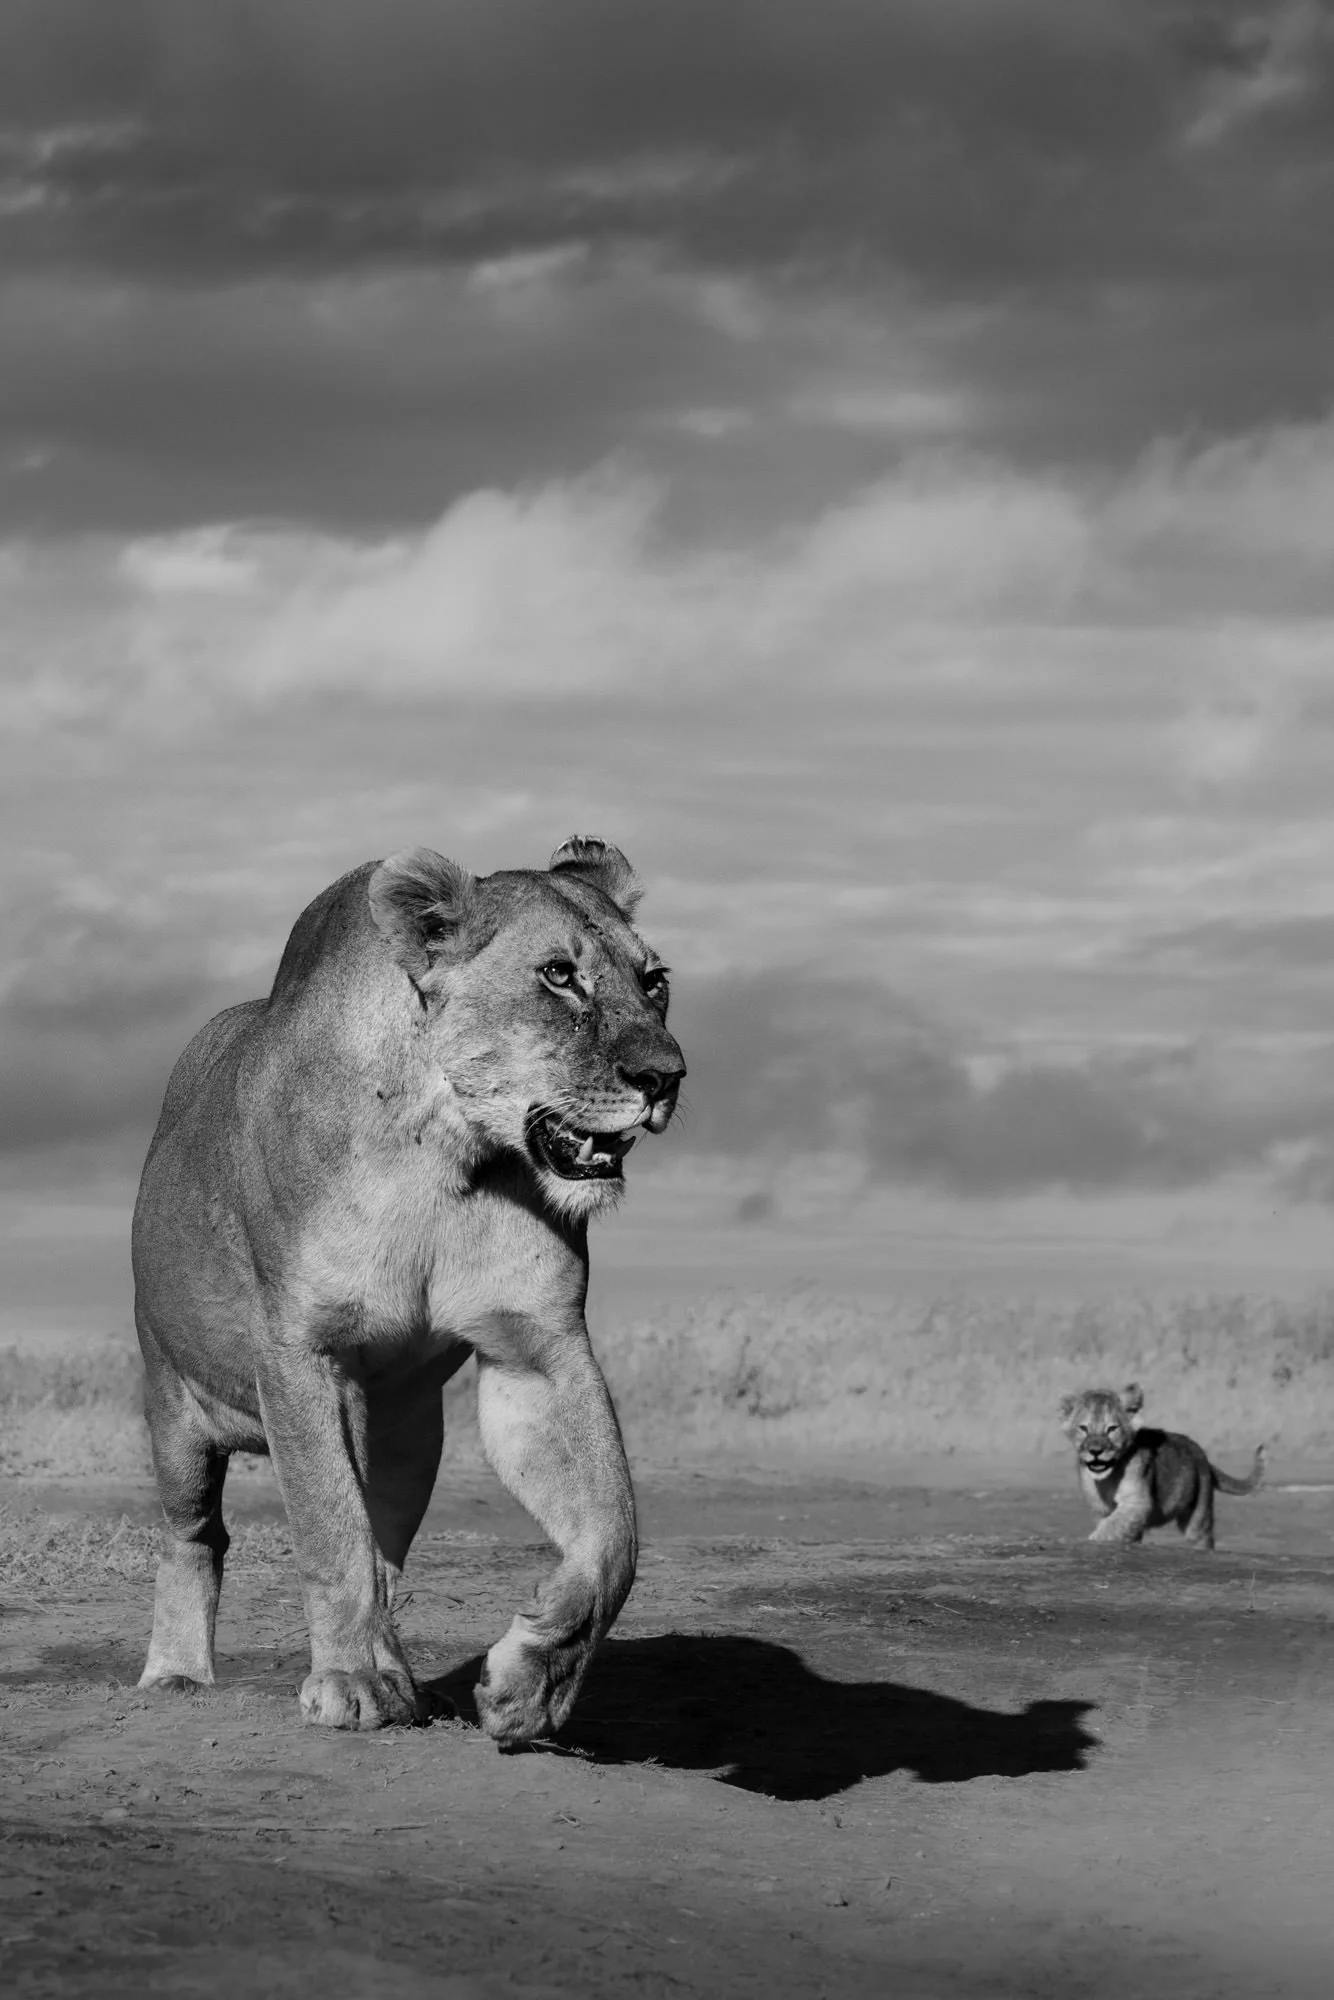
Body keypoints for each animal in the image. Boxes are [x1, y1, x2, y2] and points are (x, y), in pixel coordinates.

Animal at [132, 837, 685, 1742]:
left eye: (654, 980)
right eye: (559, 975)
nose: (667, 1076)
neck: (448, 1158)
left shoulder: (540, 1344)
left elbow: (614, 1537)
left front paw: (533, 1682)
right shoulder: (306, 1351)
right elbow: (330, 1528)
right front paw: (353, 1682)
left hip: (408, 1437)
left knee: (386, 1547)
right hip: (175, 1407)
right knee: (197, 1535)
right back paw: (178, 1673)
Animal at [1058, 1384, 1265, 1549]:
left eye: (1112, 1429)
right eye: (1083, 1428)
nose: (1095, 1451)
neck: (1107, 1479)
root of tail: (1202, 1455)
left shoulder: (1137, 1502)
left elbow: (1112, 1525)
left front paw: (1093, 1539)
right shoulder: (1100, 1509)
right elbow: (1117, 1525)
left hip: (1198, 1514)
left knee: (1203, 1537)